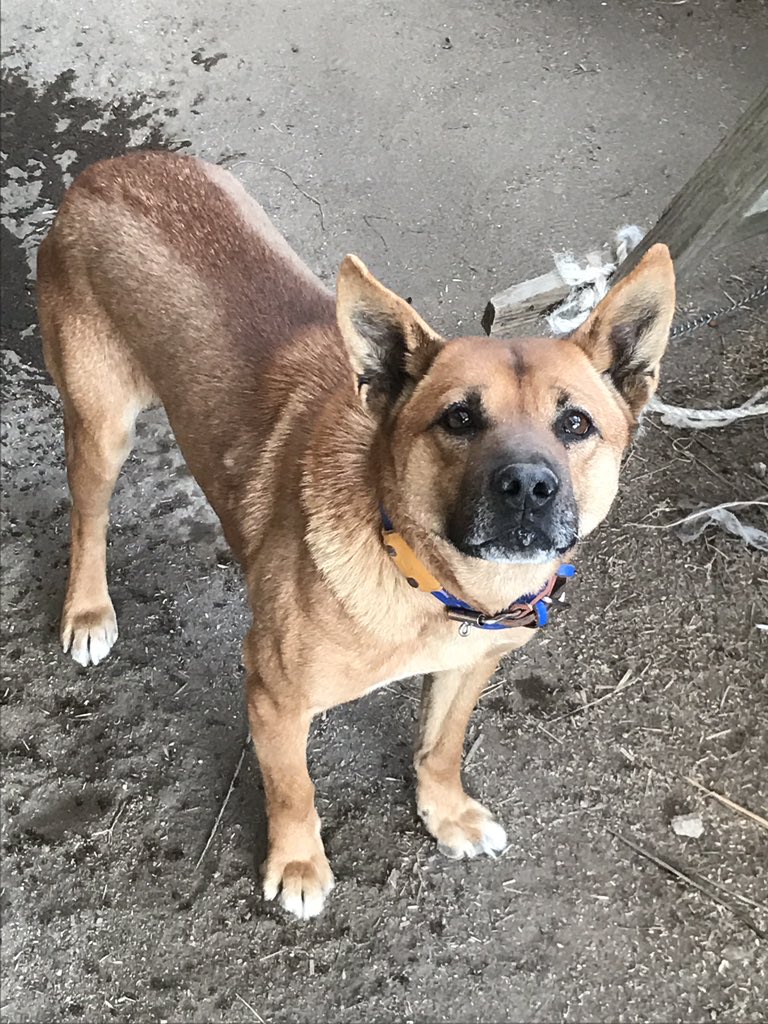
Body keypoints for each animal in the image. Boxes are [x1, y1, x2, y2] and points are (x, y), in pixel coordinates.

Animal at [37, 151, 671, 921]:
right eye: (459, 418)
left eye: (575, 423)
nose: (527, 487)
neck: (431, 583)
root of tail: (108, 169)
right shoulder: (274, 695)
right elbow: (293, 788)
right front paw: (298, 862)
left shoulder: (470, 665)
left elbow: (442, 746)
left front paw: (445, 810)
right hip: (102, 429)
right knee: (88, 518)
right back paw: (88, 609)